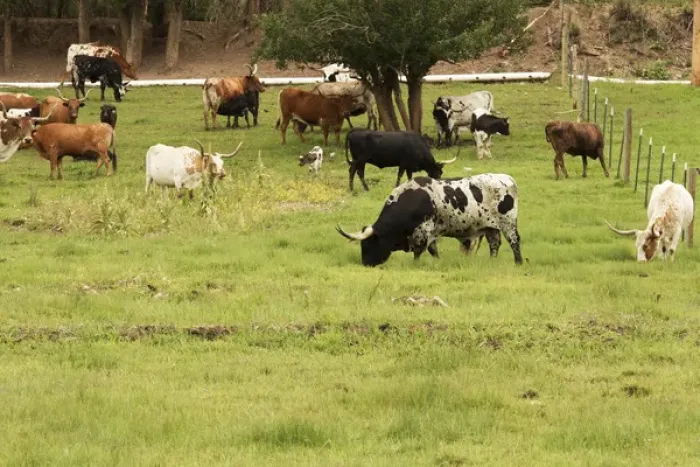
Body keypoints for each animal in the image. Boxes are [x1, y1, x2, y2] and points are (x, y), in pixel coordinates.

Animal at [336, 174, 523, 267]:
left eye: (369, 244)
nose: (366, 264)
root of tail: (508, 179)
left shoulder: (423, 231)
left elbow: (419, 251)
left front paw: (415, 264)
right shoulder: (431, 232)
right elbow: (433, 250)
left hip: (508, 224)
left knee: (514, 242)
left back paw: (518, 263)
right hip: (490, 227)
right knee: (494, 244)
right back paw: (492, 262)